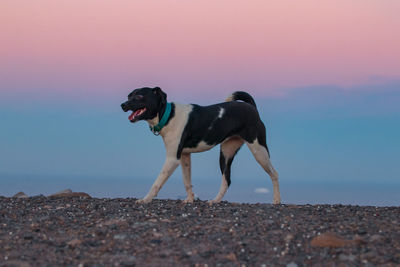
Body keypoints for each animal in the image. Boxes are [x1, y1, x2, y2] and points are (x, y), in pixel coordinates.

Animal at [120, 88, 280, 205]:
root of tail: (252, 107)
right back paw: (215, 201)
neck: (168, 115)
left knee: (274, 173)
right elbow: (187, 181)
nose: (123, 105)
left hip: (259, 150)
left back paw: (277, 200)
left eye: (139, 96)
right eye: (129, 96)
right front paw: (190, 199)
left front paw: (145, 199)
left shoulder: (172, 159)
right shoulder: (184, 156)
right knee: (226, 180)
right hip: (226, 153)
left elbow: (157, 182)